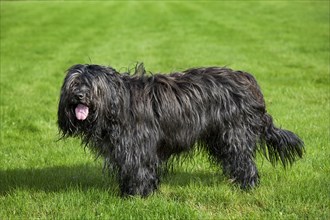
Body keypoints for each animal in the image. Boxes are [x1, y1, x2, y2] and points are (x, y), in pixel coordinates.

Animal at [57, 62, 304, 197]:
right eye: (74, 83)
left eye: (92, 85)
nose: (79, 95)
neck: (116, 102)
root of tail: (248, 81)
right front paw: (128, 191)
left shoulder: (138, 147)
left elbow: (139, 170)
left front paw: (137, 195)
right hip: (218, 136)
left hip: (235, 133)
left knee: (244, 160)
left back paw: (246, 186)